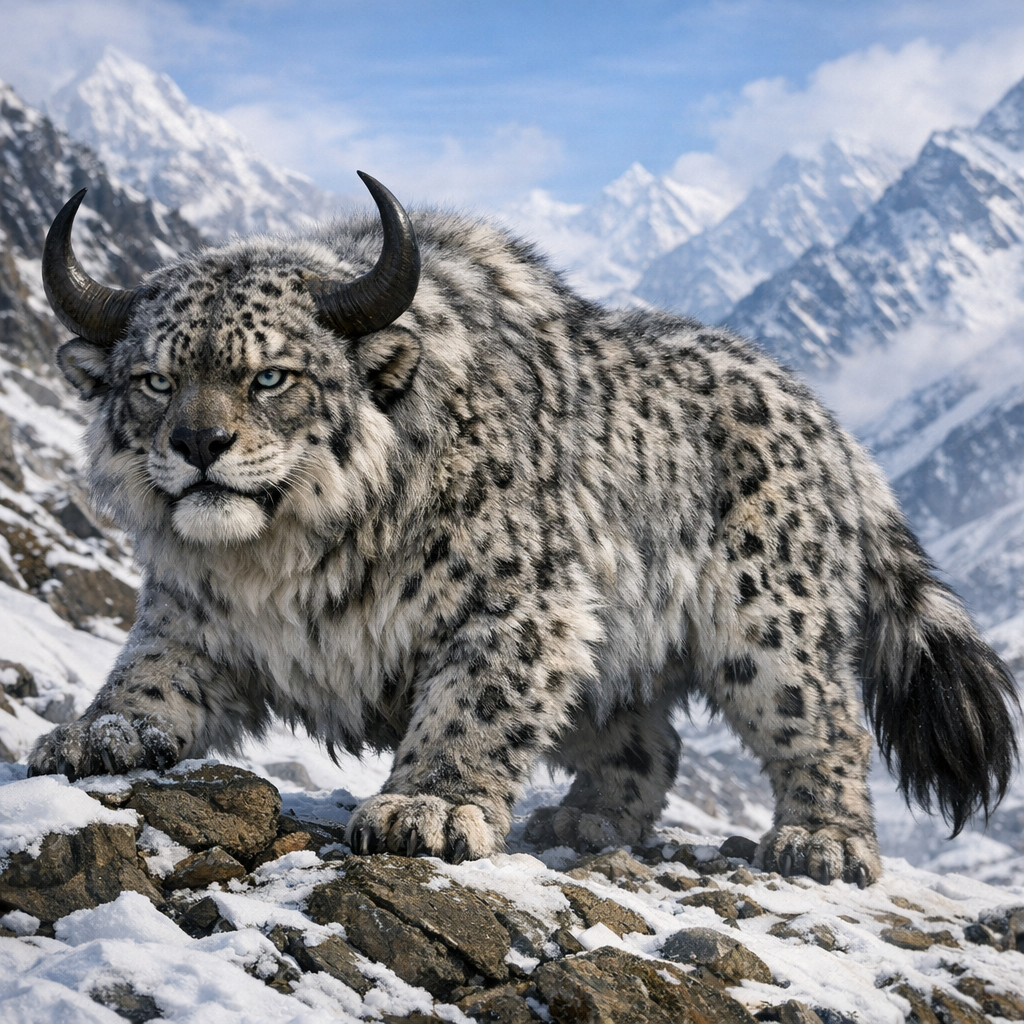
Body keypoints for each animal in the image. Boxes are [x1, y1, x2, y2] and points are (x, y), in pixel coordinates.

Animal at [29, 172, 1020, 886]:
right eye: (154, 378)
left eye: (271, 374)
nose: (199, 444)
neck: (280, 563)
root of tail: (830, 423)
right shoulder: (193, 611)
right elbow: (152, 671)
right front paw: (98, 733)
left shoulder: (518, 606)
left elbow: (475, 706)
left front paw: (425, 809)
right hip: (619, 659)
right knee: (649, 742)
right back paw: (585, 818)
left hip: (771, 628)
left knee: (825, 725)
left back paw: (823, 841)